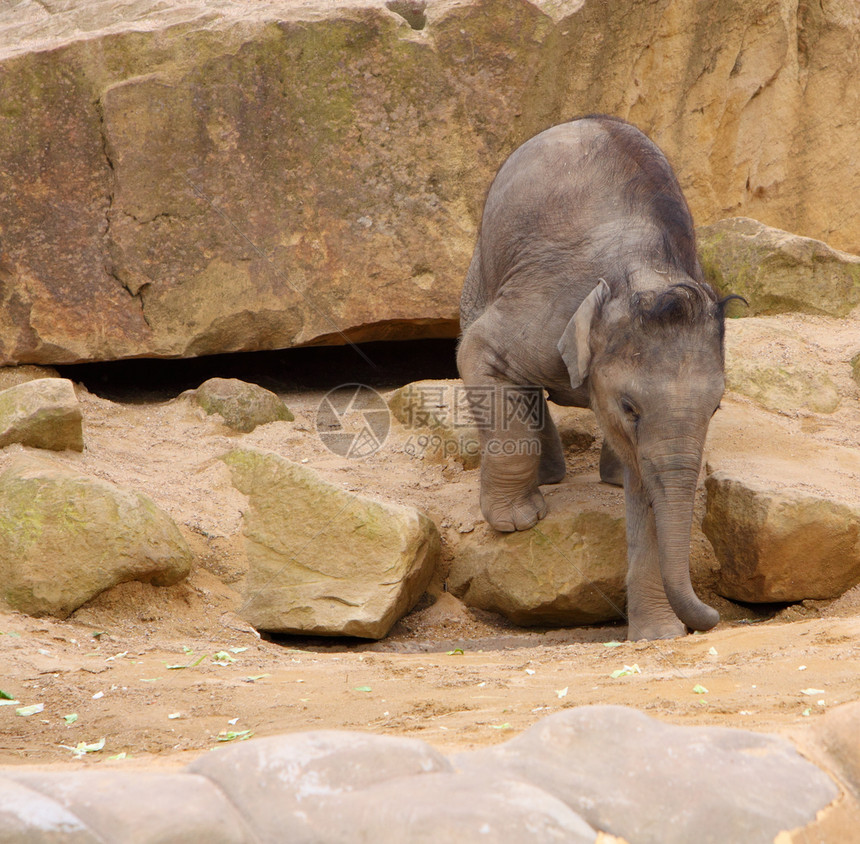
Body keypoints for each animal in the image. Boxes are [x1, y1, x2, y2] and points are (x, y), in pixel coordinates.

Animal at [460, 113, 736, 640]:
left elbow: (649, 491)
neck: (644, 273)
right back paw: (545, 482)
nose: (714, 618)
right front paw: (516, 523)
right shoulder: (542, 306)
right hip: (482, 264)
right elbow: (478, 353)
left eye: (716, 409)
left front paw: (658, 636)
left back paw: (606, 478)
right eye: (630, 408)